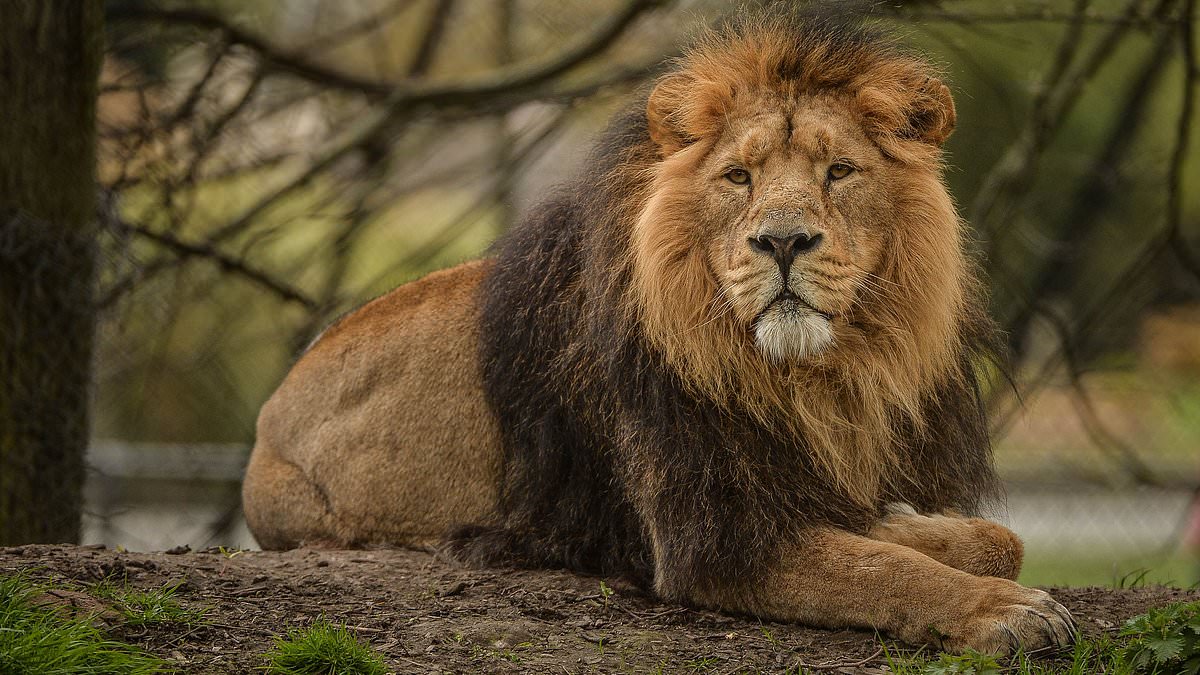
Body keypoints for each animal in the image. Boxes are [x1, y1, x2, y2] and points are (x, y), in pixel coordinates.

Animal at [242, 15, 1077, 654]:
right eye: (738, 177)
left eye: (840, 171)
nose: (781, 241)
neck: (811, 379)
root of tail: (266, 415)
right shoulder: (711, 539)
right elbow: (885, 570)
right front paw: (1001, 608)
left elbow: (992, 538)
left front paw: (902, 521)